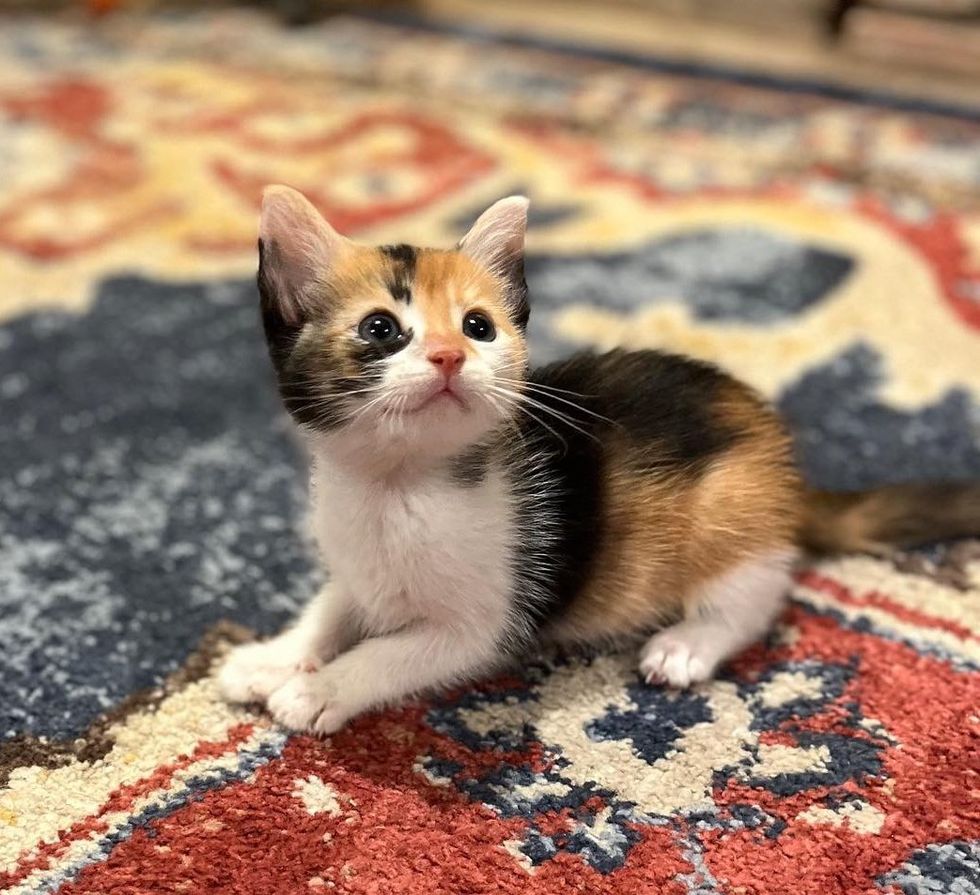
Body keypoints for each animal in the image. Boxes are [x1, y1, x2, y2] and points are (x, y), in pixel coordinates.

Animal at [218, 184, 980, 736]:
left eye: (477, 326)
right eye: (381, 329)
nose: (449, 355)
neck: (396, 486)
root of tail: (773, 446)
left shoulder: (481, 626)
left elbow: (387, 653)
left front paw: (317, 689)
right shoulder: (356, 570)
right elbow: (329, 610)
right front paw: (269, 659)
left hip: (729, 514)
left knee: (756, 596)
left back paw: (688, 643)